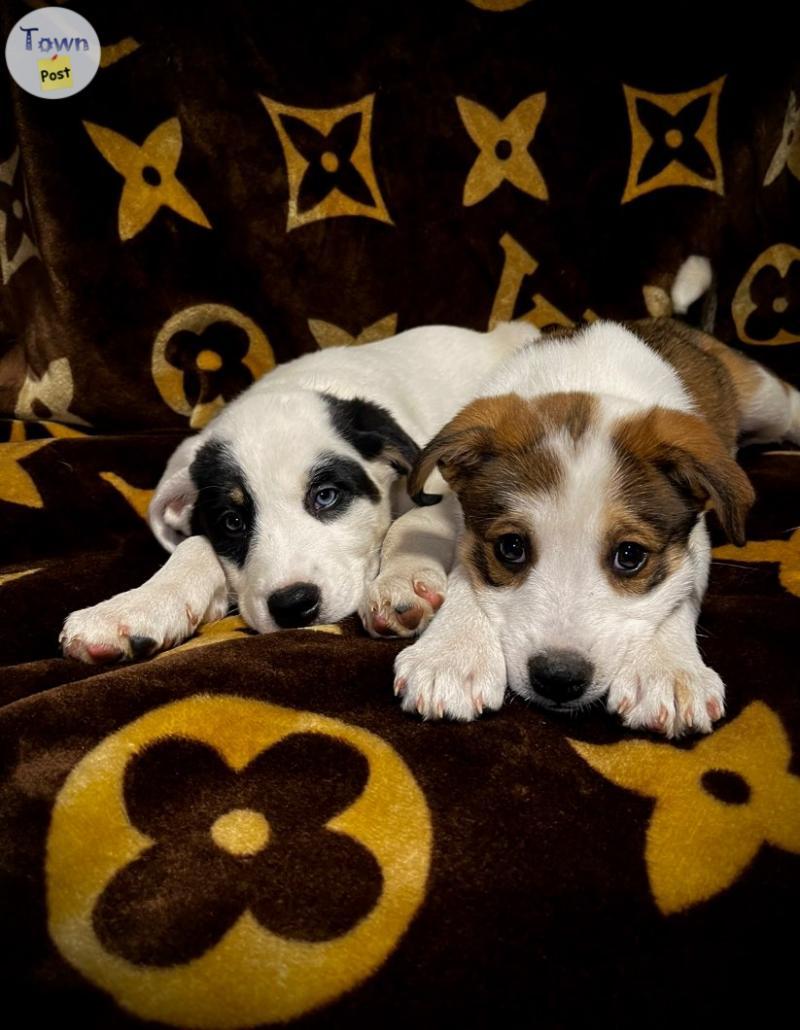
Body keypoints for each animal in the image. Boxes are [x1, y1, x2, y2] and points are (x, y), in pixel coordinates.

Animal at [62, 321, 531, 663]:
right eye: (232, 522)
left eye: (326, 496)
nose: (293, 605)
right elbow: (193, 545)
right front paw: (133, 608)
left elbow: (412, 520)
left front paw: (402, 582)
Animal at [393, 317, 798, 737]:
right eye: (511, 547)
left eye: (630, 556)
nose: (558, 678)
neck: (584, 378)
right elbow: (464, 565)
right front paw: (451, 651)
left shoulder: (694, 538)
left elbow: (679, 589)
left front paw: (666, 668)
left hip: (764, 398)